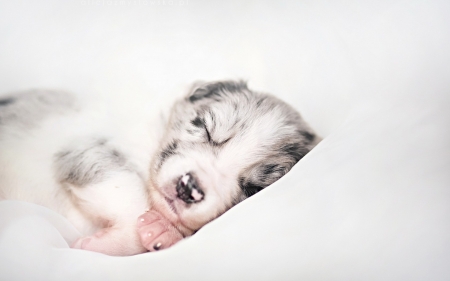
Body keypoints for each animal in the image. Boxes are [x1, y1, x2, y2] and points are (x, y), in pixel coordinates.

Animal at [0, 80, 320, 254]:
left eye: (253, 189)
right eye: (205, 128)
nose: (189, 188)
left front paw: (160, 232)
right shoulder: (84, 148)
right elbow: (130, 194)